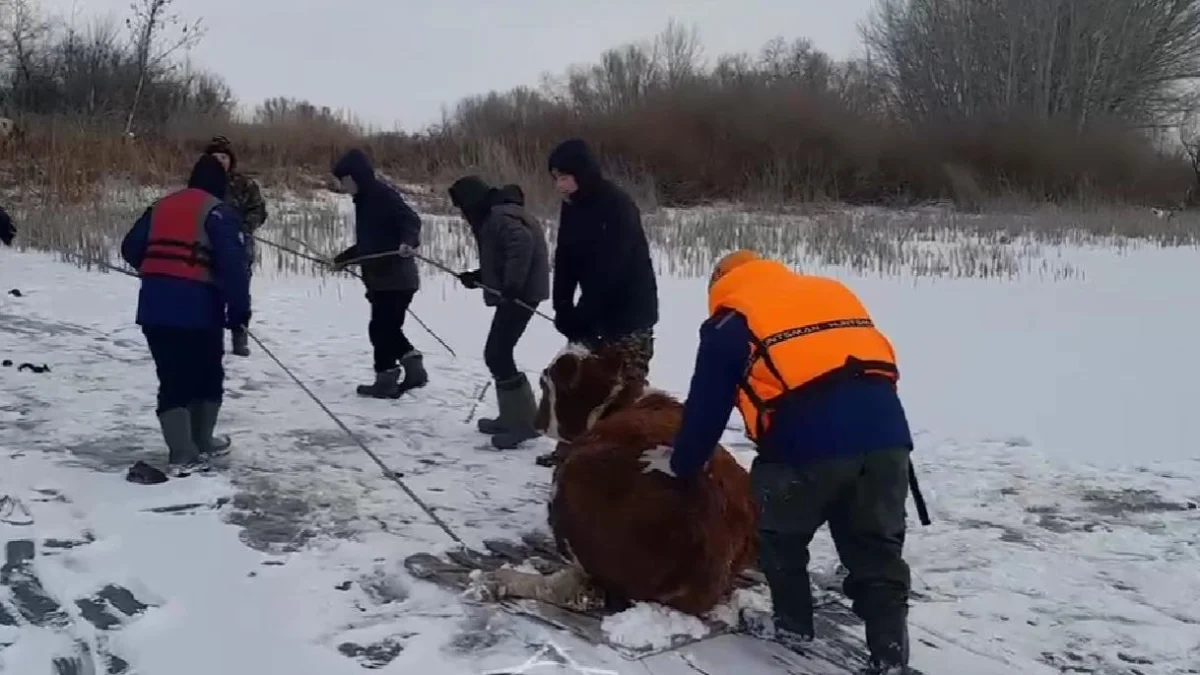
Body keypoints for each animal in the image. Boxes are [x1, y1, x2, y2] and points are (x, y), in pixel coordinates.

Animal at [477, 341, 758, 614]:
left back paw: (503, 579)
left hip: (574, 475)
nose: (536, 422)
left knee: (577, 586)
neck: (620, 402)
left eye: (544, 382)